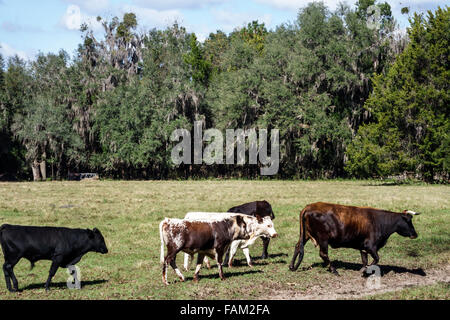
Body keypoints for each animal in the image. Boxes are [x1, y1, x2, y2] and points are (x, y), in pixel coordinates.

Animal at [290, 202, 420, 276]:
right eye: (408, 221)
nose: (415, 234)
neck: (380, 221)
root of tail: (309, 207)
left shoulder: (363, 247)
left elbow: (365, 260)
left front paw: (363, 269)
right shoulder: (370, 246)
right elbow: (376, 258)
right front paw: (366, 270)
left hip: (305, 235)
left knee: (298, 246)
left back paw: (292, 266)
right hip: (323, 239)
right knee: (323, 254)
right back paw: (334, 270)